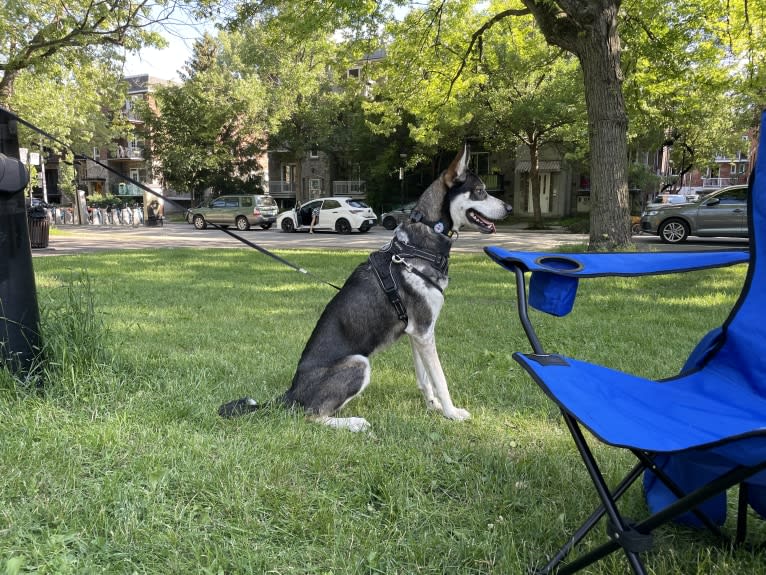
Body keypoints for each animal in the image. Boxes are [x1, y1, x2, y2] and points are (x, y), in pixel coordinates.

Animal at [219, 145, 512, 432]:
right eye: (480, 191)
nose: (509, 207)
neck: (420, 244)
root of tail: (290, 393)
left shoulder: (418, 334)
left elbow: (425, 379)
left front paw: (434, 408)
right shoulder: (424, 332)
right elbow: (440, 380)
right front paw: (452, 414)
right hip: (359, 363)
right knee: (312, 416)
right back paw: (354, 423)